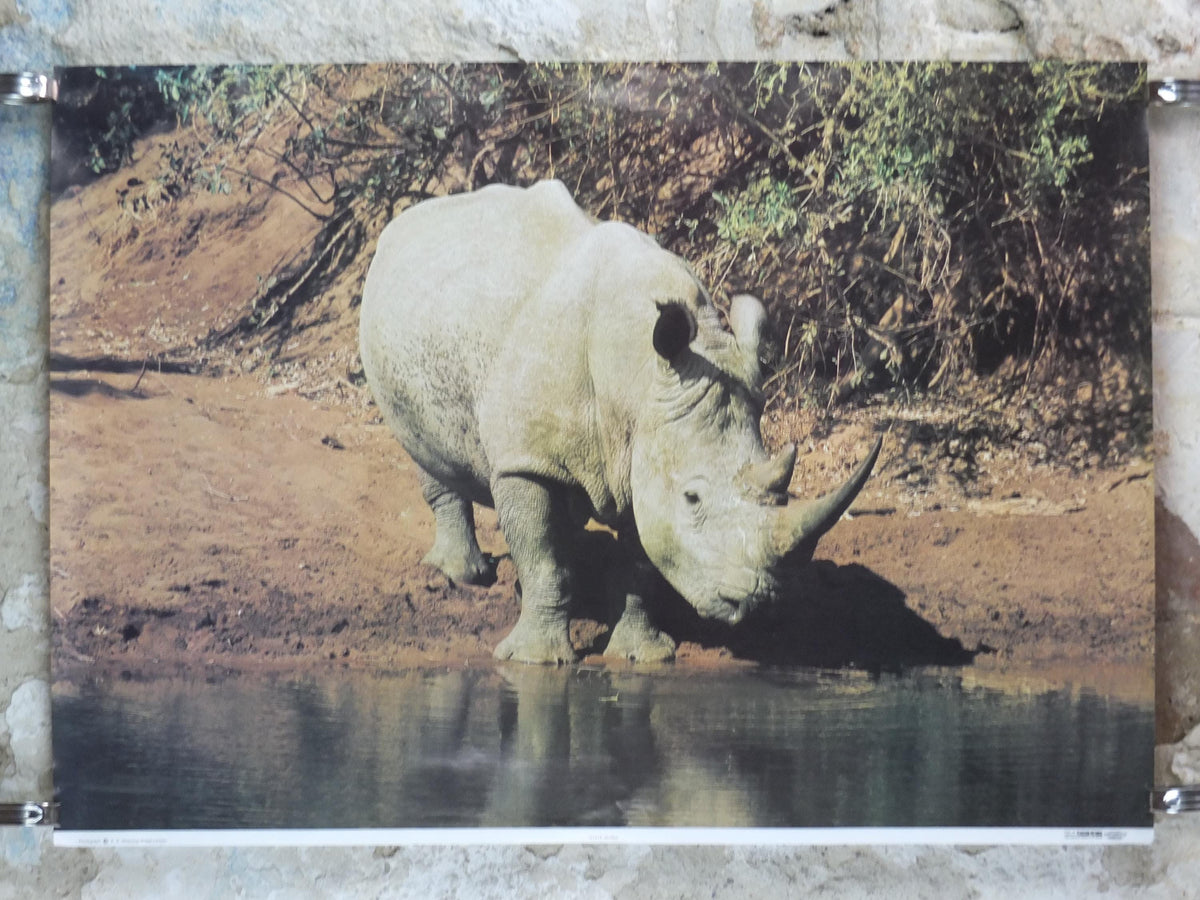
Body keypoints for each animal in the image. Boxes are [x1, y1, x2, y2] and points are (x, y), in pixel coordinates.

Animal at [359, 180, 880, 665]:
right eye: (692, 498)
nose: (757, 603)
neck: (639, 378)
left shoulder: (645, 447)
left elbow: (639, 564)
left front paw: (642, 655)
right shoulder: (525, 460)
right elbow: (542, 559)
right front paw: (535, 660)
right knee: (424, 446)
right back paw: (463, 575)